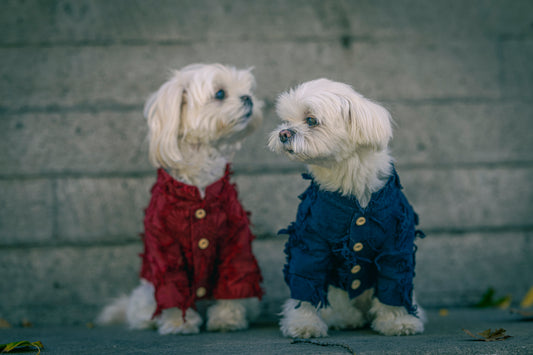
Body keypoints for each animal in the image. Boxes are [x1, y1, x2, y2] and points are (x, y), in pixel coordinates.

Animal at [97, 64, 264, 336]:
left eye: (248, 89)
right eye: (220, 93)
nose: (248, 98)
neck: (200, 189)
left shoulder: (235, 239)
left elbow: (233, 277)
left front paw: (227, 319)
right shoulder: (164, 247)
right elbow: (173, 286)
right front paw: (178, 323)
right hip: (145, 294)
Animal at [268, 78, 426, 340]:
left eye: (311, 120)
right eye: (286, 120)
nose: (283, 133)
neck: (348, 178)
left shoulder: (396, 245)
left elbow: (395, 282)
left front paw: (398, 321)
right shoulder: (310, 243)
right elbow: (306, 281)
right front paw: (304, 324)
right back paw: (344, 318)